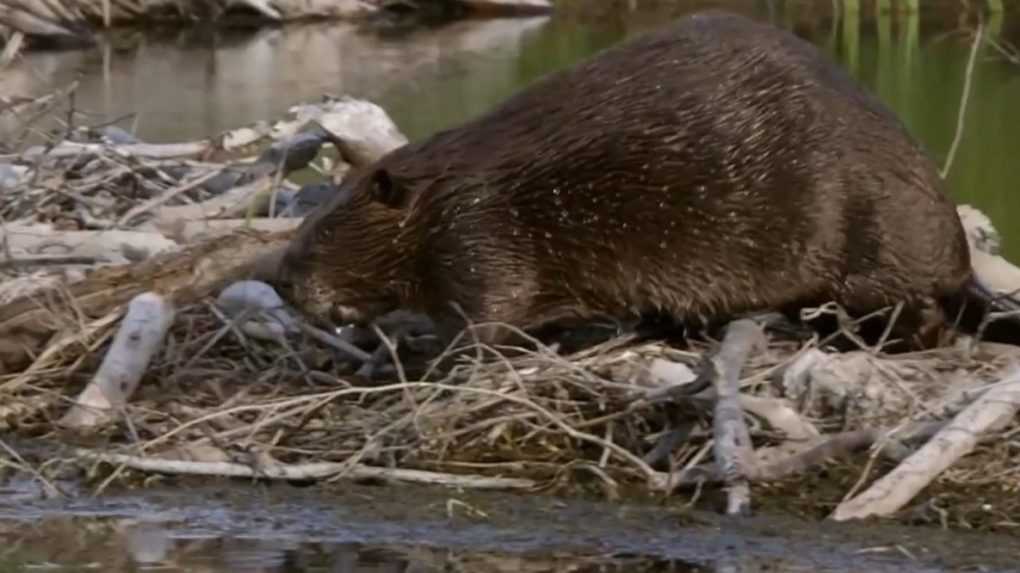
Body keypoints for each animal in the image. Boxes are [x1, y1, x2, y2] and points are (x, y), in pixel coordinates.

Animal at [265, 11, 987, 350]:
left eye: (320, 231)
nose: (282, 281)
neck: (441, 183)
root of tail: (958, 251)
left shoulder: (476, 228)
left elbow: (488, 312)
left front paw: (429, 353)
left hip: (868, 239)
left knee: (918, 309)